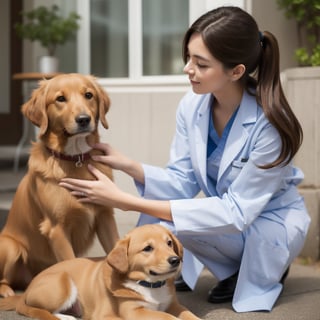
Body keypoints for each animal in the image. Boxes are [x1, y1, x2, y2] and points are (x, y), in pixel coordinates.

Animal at [0, 72, 119, 298]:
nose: (84, 119)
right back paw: (7, 291)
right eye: (60, 99)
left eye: (88, 95)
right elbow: (70, 263)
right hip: (10, 246)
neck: (75, 159)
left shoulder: (105, 218)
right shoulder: (57, 229)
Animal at [0, 224, 201, 320]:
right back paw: (66, 317)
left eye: (169, 243)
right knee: (45, 311)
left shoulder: (174, 305)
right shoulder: (134, 312)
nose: (175, 260)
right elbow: (167, 317)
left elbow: (188, 315)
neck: (150, 285)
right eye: (147, 248)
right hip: (62, 284)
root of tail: (27, 289)